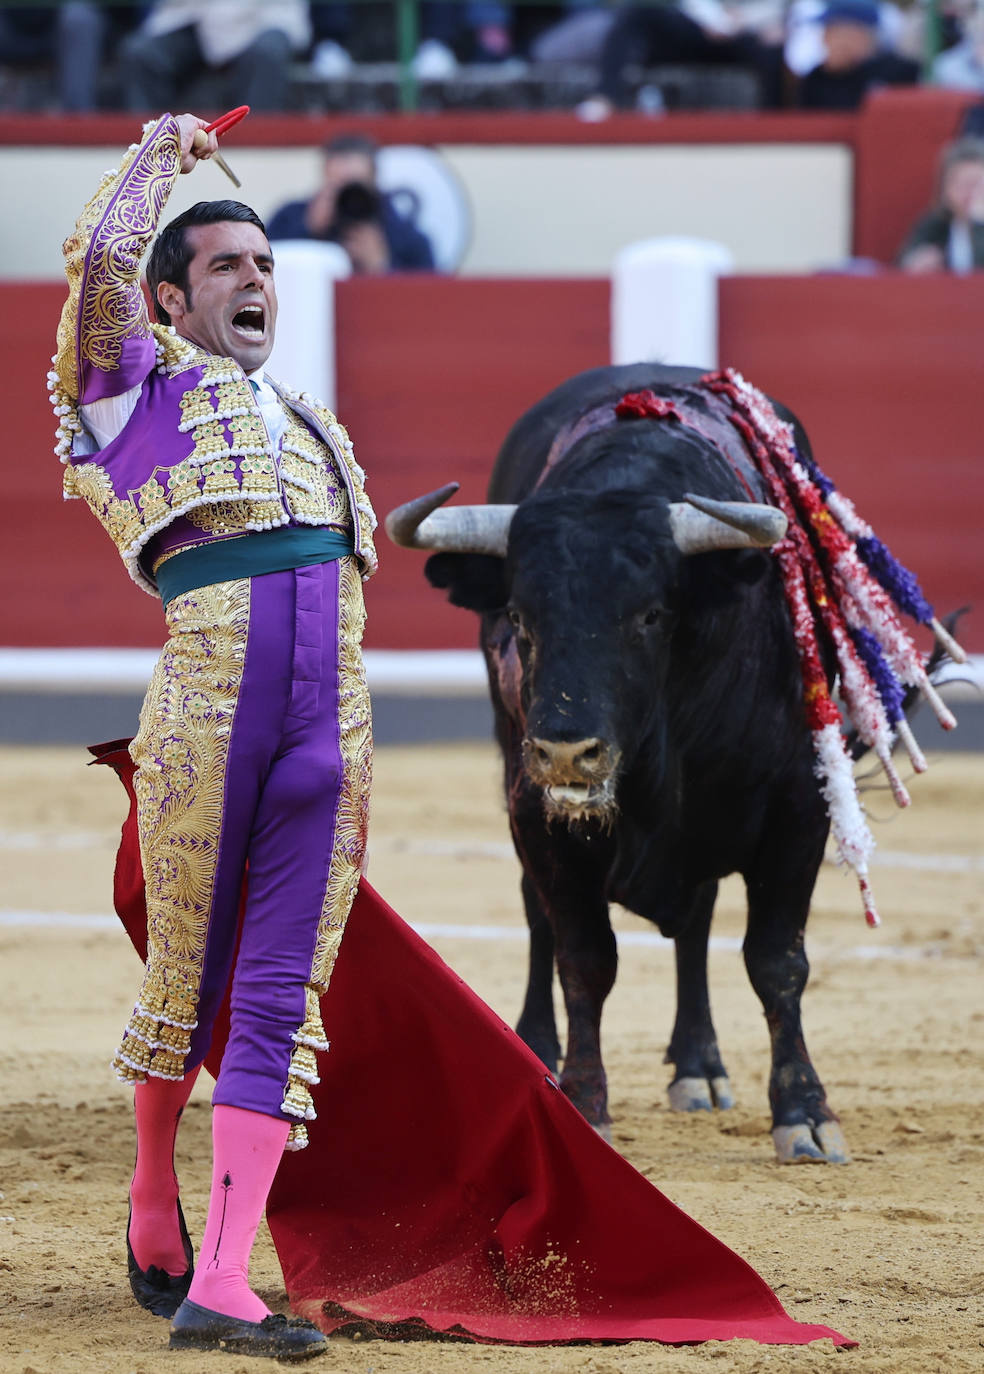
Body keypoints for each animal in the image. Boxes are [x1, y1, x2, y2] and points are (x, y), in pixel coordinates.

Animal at [387, 362, 852, 1159]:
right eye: (520, 616)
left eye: (651, 615)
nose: (566, 751)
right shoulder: (539, 816)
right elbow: (583, 957)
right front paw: (582, 1103)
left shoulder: (800, 809)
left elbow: (777, 960)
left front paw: (805, 1113)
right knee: (540, 917)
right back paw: (538, 1049)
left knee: (697, 920)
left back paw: (699, 1065)